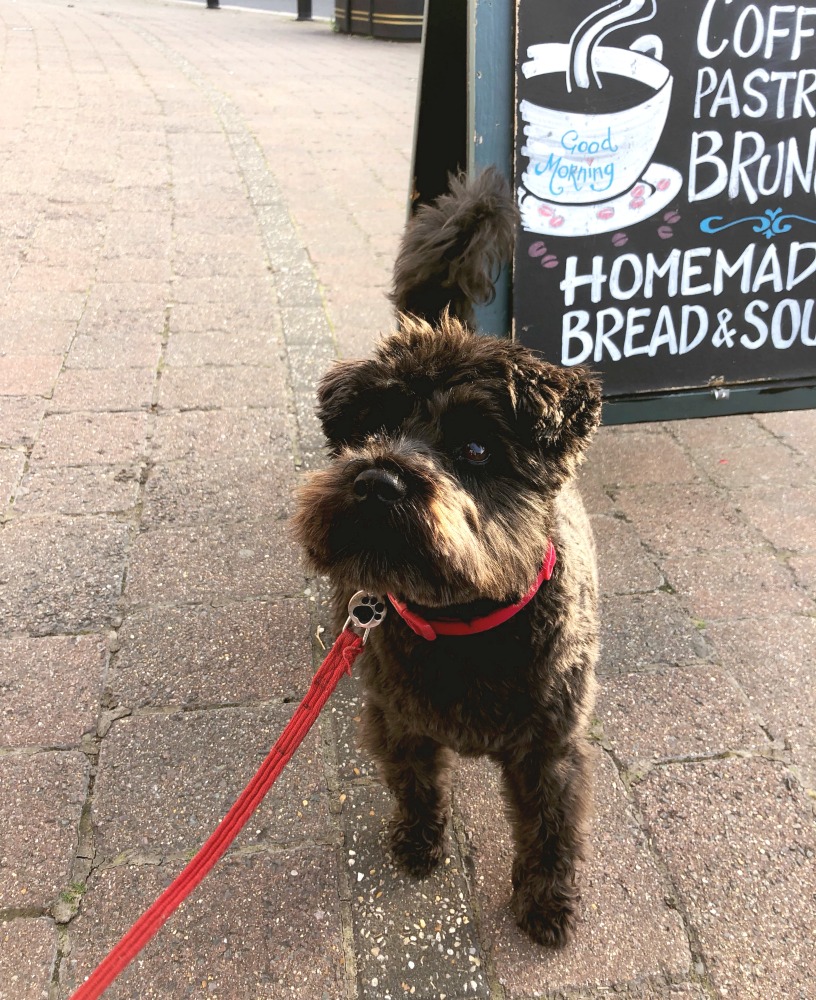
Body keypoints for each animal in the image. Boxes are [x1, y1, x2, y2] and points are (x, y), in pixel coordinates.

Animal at [294, 168, 600, 948]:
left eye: (477, 449)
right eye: (370, 427)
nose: (377, 480)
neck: (465, 622)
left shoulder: (550, 750)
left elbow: (549, 831)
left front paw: (545, 903)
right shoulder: (398, 722)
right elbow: (416, 787)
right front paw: (418, 842)